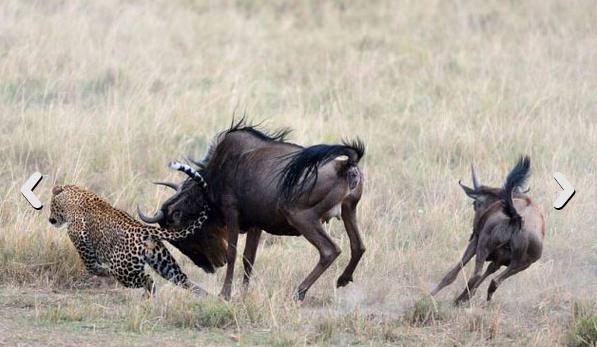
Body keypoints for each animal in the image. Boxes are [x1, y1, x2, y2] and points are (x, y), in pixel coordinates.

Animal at [47, 185, 210, 296]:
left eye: (50, 206)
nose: (50, 219)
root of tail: (144, 229)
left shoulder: (81, 242)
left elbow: (92, 267)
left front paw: (104, 272)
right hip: (164, 263)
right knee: (184, 280)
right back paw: (207, 297)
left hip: (123, 271)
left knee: (148, 279)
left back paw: (147, 298)